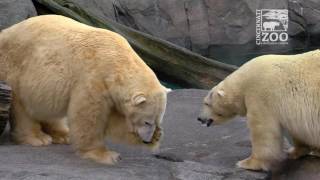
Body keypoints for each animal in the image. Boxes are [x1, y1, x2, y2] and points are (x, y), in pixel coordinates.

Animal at [0, 15, 170, 165]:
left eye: (156, 121)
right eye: (147, 121)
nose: (146, 139)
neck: (116, 61)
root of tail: (4, 32)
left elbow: (115, 121)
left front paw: (157, 136)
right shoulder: (94, 78)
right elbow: (89, 116)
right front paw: (106, 155)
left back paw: (63, 135)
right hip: (14, 69)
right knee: (21, 107)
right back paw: (38, 138)